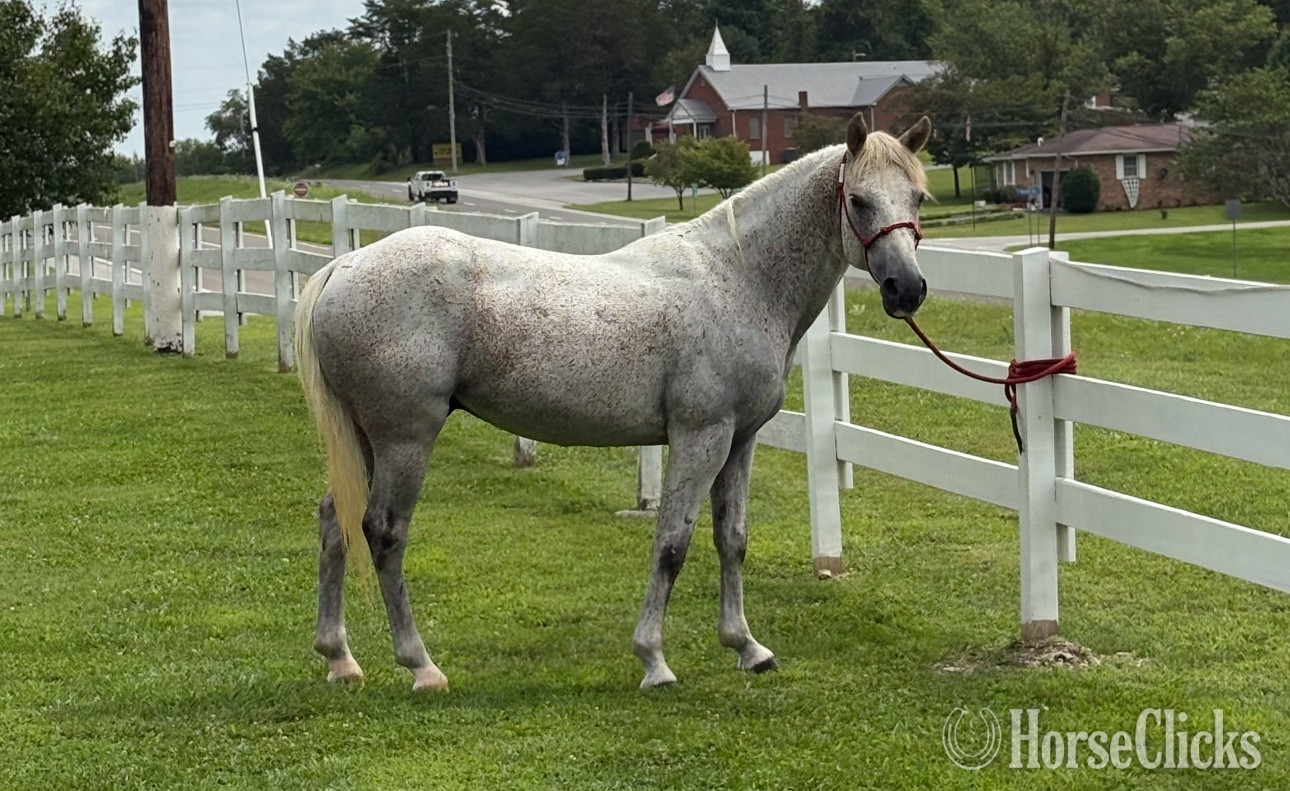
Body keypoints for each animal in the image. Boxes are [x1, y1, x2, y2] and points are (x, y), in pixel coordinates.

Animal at [293, 112, 931, 691]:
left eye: (917, 197)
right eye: (860, 200)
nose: (908, 289)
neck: (737, 278)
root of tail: (343, 266)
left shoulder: (739, 440)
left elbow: (732, 539)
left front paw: (747, 648)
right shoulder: (700, 437)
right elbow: (672, 543)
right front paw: (654, 661)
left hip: (366, 439)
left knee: (335, 519)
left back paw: (339, 658)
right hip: (405, 438)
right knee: (383, 531)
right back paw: (421, 666)